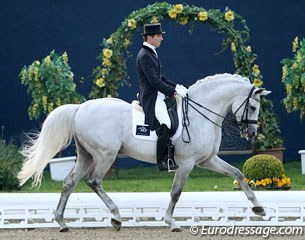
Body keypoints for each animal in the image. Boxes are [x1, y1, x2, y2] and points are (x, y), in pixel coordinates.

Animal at [17, 73, 268, 232]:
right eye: (253, 107)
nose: (252, 133)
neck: (200, 114)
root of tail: (79, 108)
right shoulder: (187, 163)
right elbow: (176, 193)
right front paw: (171, 222)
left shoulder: (207, 160)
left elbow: (237, 173)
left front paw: (259, 208)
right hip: (105, 155)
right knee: (93, 181)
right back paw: (116, 217)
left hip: (86, 155)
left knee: (70, 182)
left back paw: (61, 222)